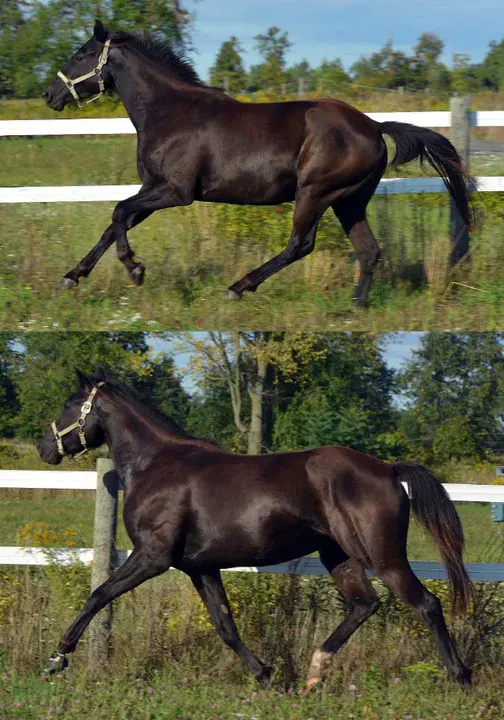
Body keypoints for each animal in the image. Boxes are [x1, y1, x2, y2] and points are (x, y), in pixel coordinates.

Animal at [38, 368, 472, 688]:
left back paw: (460, 677)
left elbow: (98, 595)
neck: (155, 465)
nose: (45, 447)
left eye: (69, 404)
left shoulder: (152, 557)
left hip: (381, 556)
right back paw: (314, 673)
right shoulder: (200, 567)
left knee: (426, 604)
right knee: (365, 604)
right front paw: (265, 675)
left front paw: (57, 658)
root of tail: (388, 469)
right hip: (339, 556)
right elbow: (225, 626)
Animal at [42, 21, 472, 306]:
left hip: (315, 192)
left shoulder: (176, 191)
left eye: (80, 55)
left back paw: (239, 287)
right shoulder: (154, 189)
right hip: (349, 201)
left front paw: (134, 270)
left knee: (301, 244)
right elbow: (115, 223)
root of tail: (374, 125)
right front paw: (72, 277)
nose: (49, 94)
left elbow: (117, 211)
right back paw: (356, 305)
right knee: (368, 251)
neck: (169, 112)